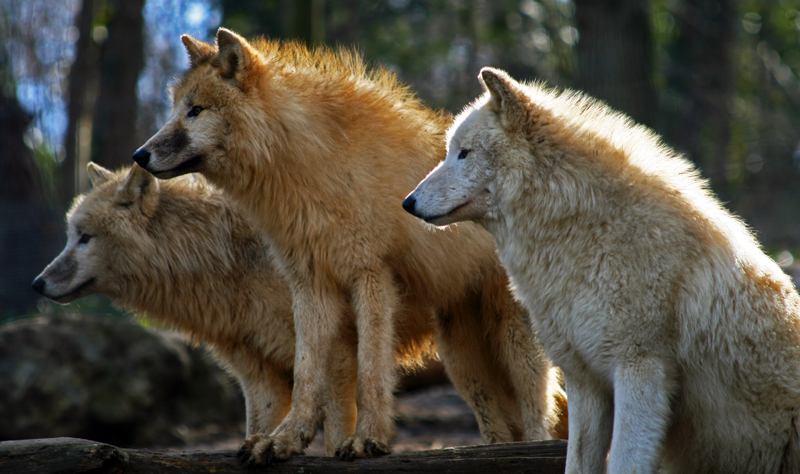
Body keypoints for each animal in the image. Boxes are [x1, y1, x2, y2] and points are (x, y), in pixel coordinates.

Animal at [134, 26, 564, 462]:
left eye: (195, 111)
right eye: (174, 110)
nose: (139, 155)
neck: (309, 166)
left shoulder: (371, 276)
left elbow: (371, 370)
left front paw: (367, 439)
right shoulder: (310, 286)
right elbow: (306, 373)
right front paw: (285, 440)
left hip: (513, 343)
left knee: (538, 412)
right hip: (462, 361)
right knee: (500, 427)